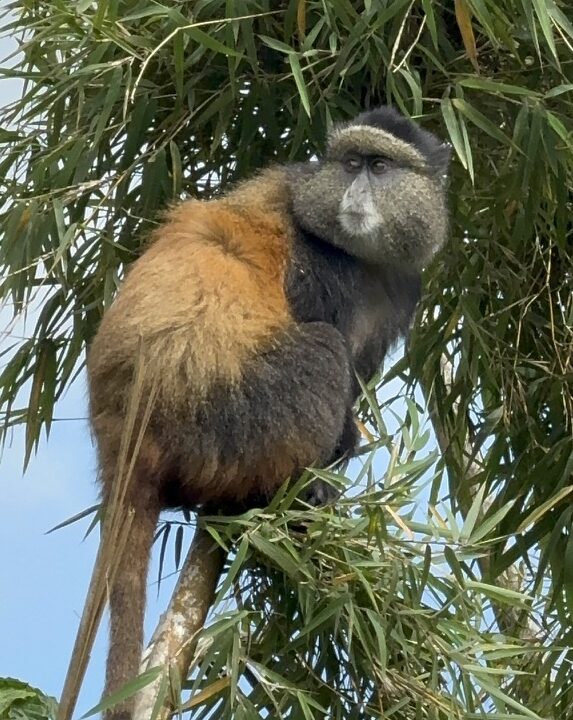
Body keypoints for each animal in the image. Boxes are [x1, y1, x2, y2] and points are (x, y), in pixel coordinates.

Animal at [58, 106, 449, 720]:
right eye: (350, 163)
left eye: (380, 166)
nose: (356, 190)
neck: (365, 261)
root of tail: (124, 437)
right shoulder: (320, 269)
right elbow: (336, 358)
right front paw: (329, 468)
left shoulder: (403, 290)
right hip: (228, 417)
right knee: (322, 353)